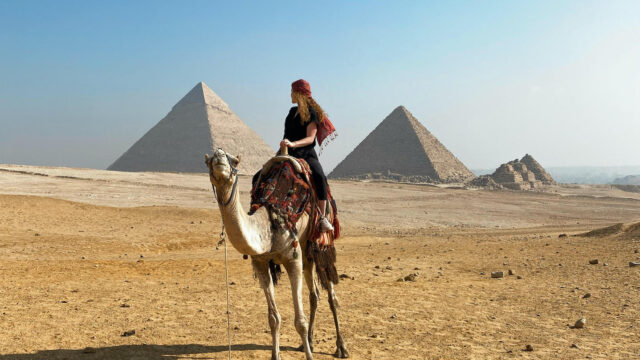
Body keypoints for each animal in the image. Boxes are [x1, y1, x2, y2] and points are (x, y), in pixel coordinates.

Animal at [205, 148, 348, 358]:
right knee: (314, 294)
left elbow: (300, 321)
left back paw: (341, 347)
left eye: (234, 161)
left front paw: (310, 356)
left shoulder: (292, 258)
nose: (219, 156)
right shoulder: (261, 262)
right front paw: (276, 354)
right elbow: (273, 318)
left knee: (331, 297)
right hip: (306, 250)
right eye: (207, 161)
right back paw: (309, 342)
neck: (268, 224)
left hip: (320, 244)